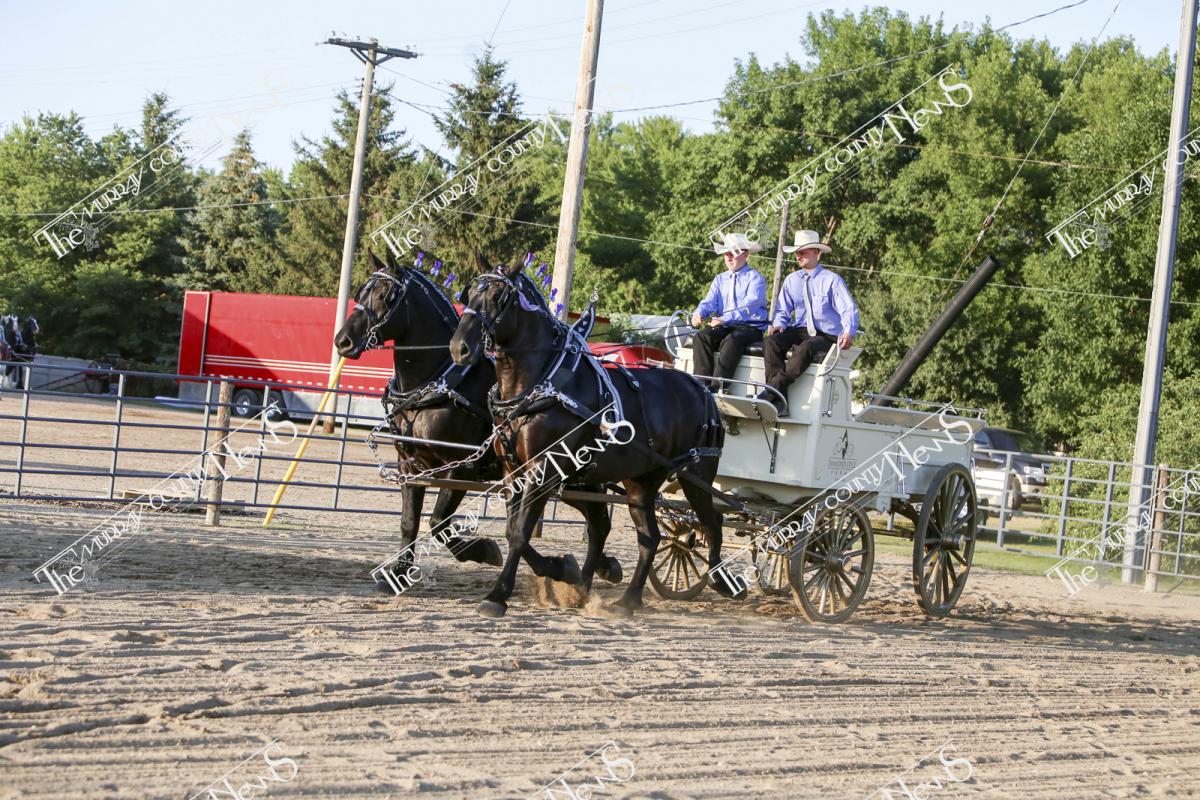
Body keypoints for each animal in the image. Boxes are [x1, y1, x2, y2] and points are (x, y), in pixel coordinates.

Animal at [335, 251, 622, 594]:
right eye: (361, 292)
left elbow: (438, 522)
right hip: (573, 480)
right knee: (599, 523)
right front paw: (400, 573)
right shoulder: (410, 466)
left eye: (384, 296)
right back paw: (598, 571)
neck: (434, 381)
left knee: (602, 522)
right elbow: (409, 522)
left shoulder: (461, 468)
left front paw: (483, 550)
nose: (343, 341)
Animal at [449, 257, 737, 618]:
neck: (540, 383)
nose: (459, 348)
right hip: (641, 480)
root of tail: (702, 389)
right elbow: (513, 530)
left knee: (712, 522)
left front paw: (500, 595)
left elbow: (520, 533)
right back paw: (627, 601)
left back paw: (722, 579)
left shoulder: (545, 471)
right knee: (649, 537)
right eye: (470, 291)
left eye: (500, 297)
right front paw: (564, 573)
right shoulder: (513, 471)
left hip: (696, 474)